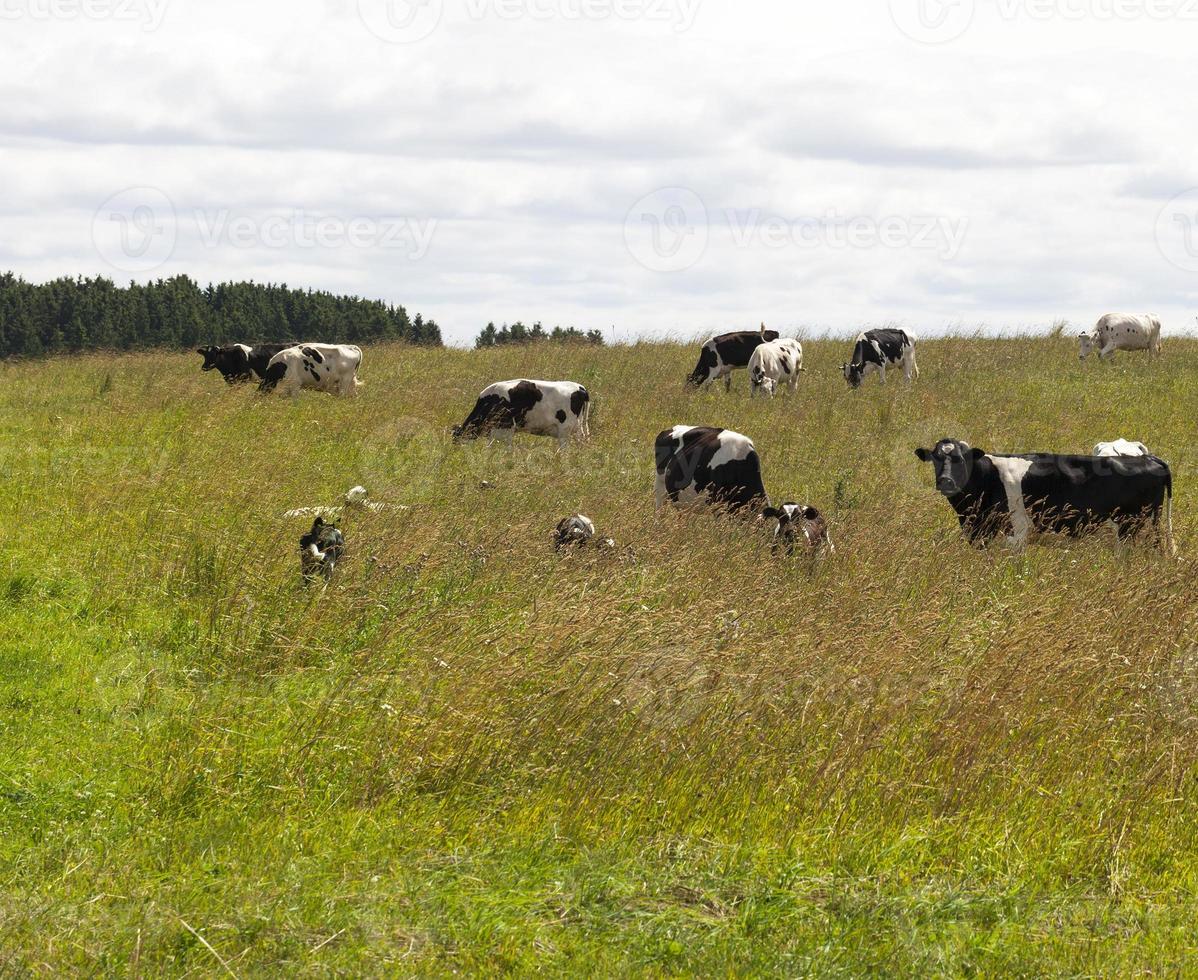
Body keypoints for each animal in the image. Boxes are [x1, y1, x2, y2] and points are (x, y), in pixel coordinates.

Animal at [910, 436, 1174, 551]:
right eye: (936, 458)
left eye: (962, 459)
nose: (946, 481)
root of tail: (1150, 458)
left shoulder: (1016, 532)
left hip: (1129, 525)